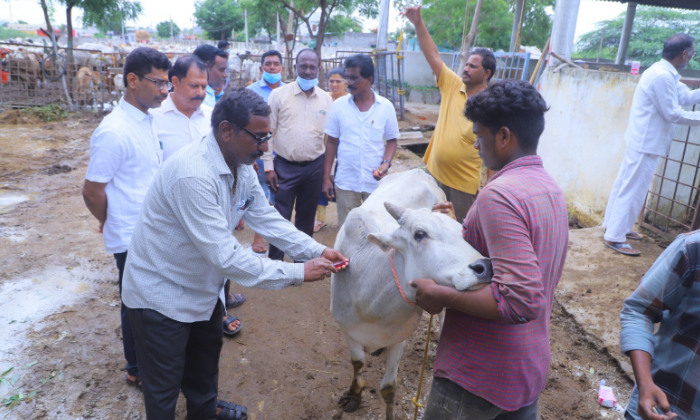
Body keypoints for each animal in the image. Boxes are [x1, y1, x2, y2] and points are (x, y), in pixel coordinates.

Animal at [330, 170, 490, 420]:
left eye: (462, 232)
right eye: (420, 234)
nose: (485, 267)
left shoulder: (399, 339)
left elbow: (388, 388)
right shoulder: (347, 329)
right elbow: (357, 363)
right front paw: (354, 395)